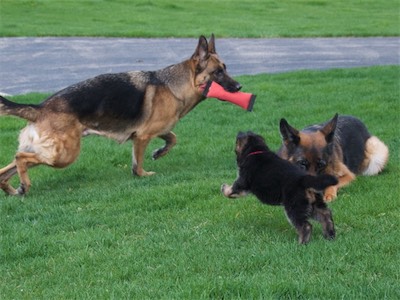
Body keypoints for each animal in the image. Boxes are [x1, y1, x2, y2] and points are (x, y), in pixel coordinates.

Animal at [0, 34, 241, 197]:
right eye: (218, 72)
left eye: (226, 68)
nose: (239, 87)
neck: (176, 85)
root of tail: (40, 107)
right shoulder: (142, 136)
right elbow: (138, 164)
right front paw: (144, 174)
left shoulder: (153, 131)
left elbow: (172, 138)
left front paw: (159, 152)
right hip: (64, 155)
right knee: (20, 158)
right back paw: (24, 185)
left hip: (49, 152)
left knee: (7, 168)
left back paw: (12, 189)